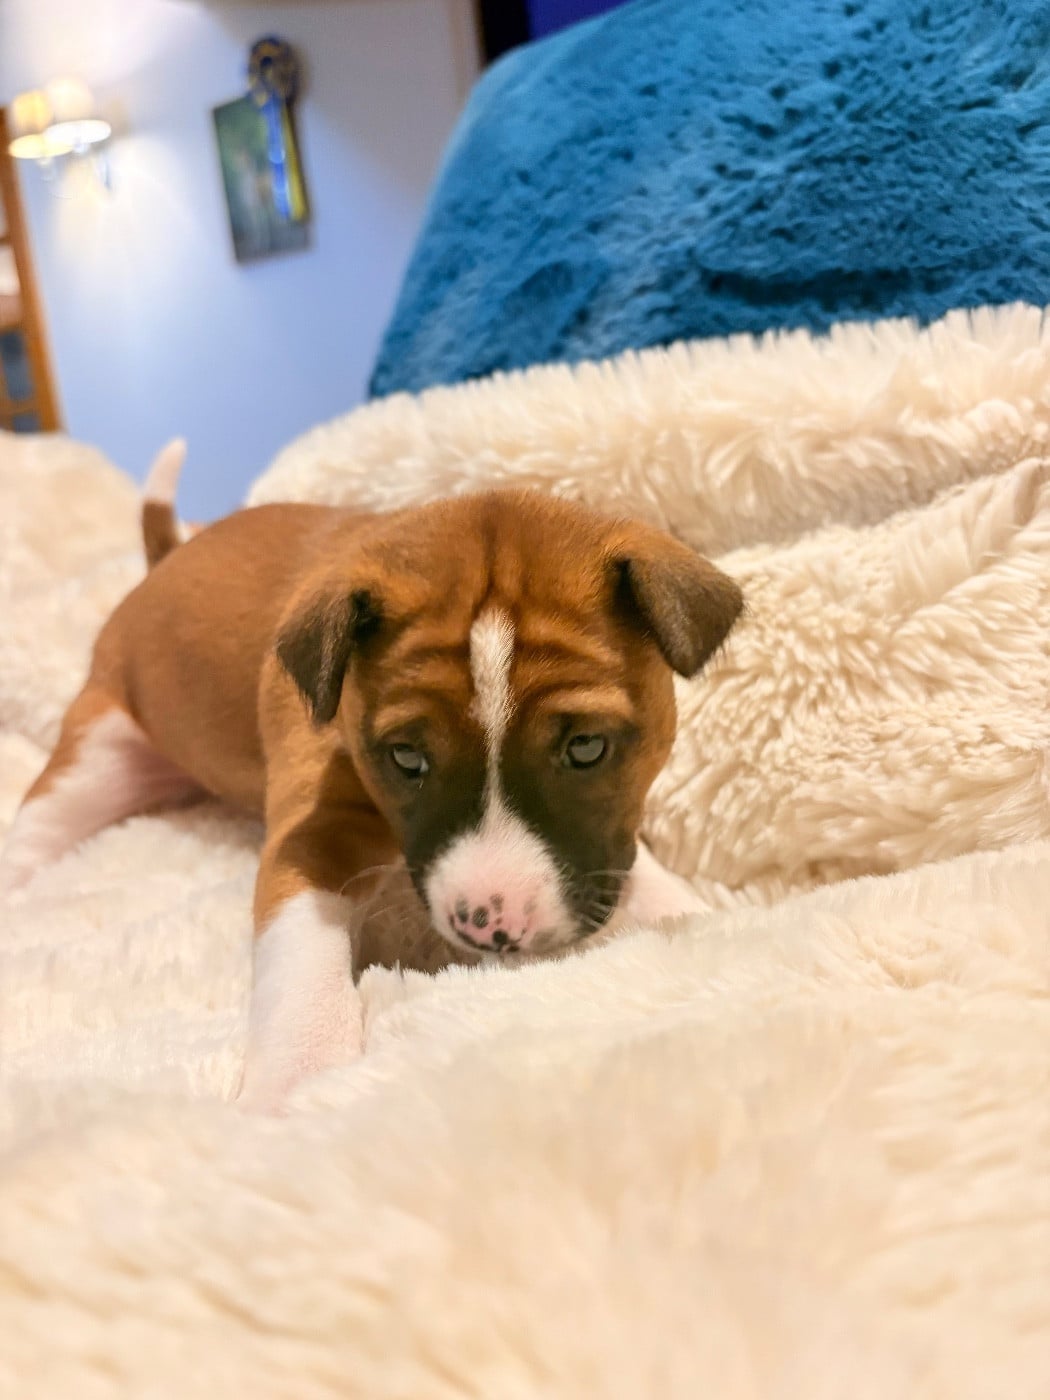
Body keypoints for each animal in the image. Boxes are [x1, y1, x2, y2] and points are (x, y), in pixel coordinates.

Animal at [1, 444, 744, 1105]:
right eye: (407, 759)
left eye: (587, 748)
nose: (490, 927)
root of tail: (166, 560)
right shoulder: (311, 835)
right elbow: (301, 955)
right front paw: (298, 1079)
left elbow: (636, 868)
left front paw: (693, 915)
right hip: (93, 756)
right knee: (37, 828)